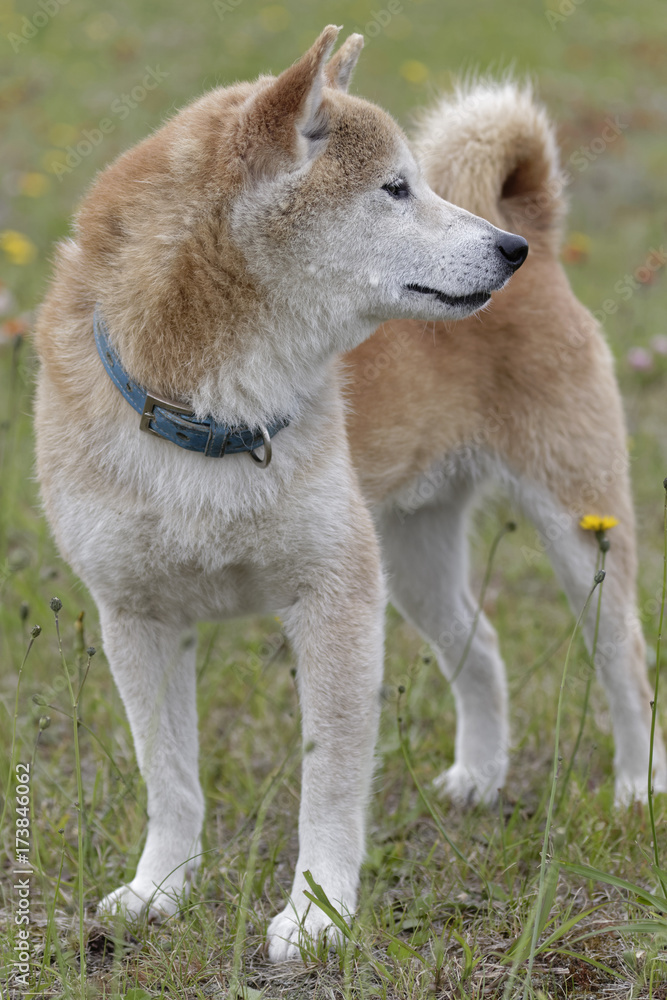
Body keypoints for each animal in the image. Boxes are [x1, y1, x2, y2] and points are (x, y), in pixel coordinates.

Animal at [34, 29, 528, 960]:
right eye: (395, 188)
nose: (508, 249)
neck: (212, 418)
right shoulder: (135, 613)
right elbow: (169, 778)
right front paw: (159, 888)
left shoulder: (336, 597)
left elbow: (328, 782)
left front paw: (316, 912)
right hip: (411, 561)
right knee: (481, 647)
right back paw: (479, 780)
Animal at [344, 82, 667, 808]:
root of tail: (529, 241)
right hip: (415, 555)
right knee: (482, 650)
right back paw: (479, 777)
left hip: (580, 530)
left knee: (627, 661)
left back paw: (638, 788)